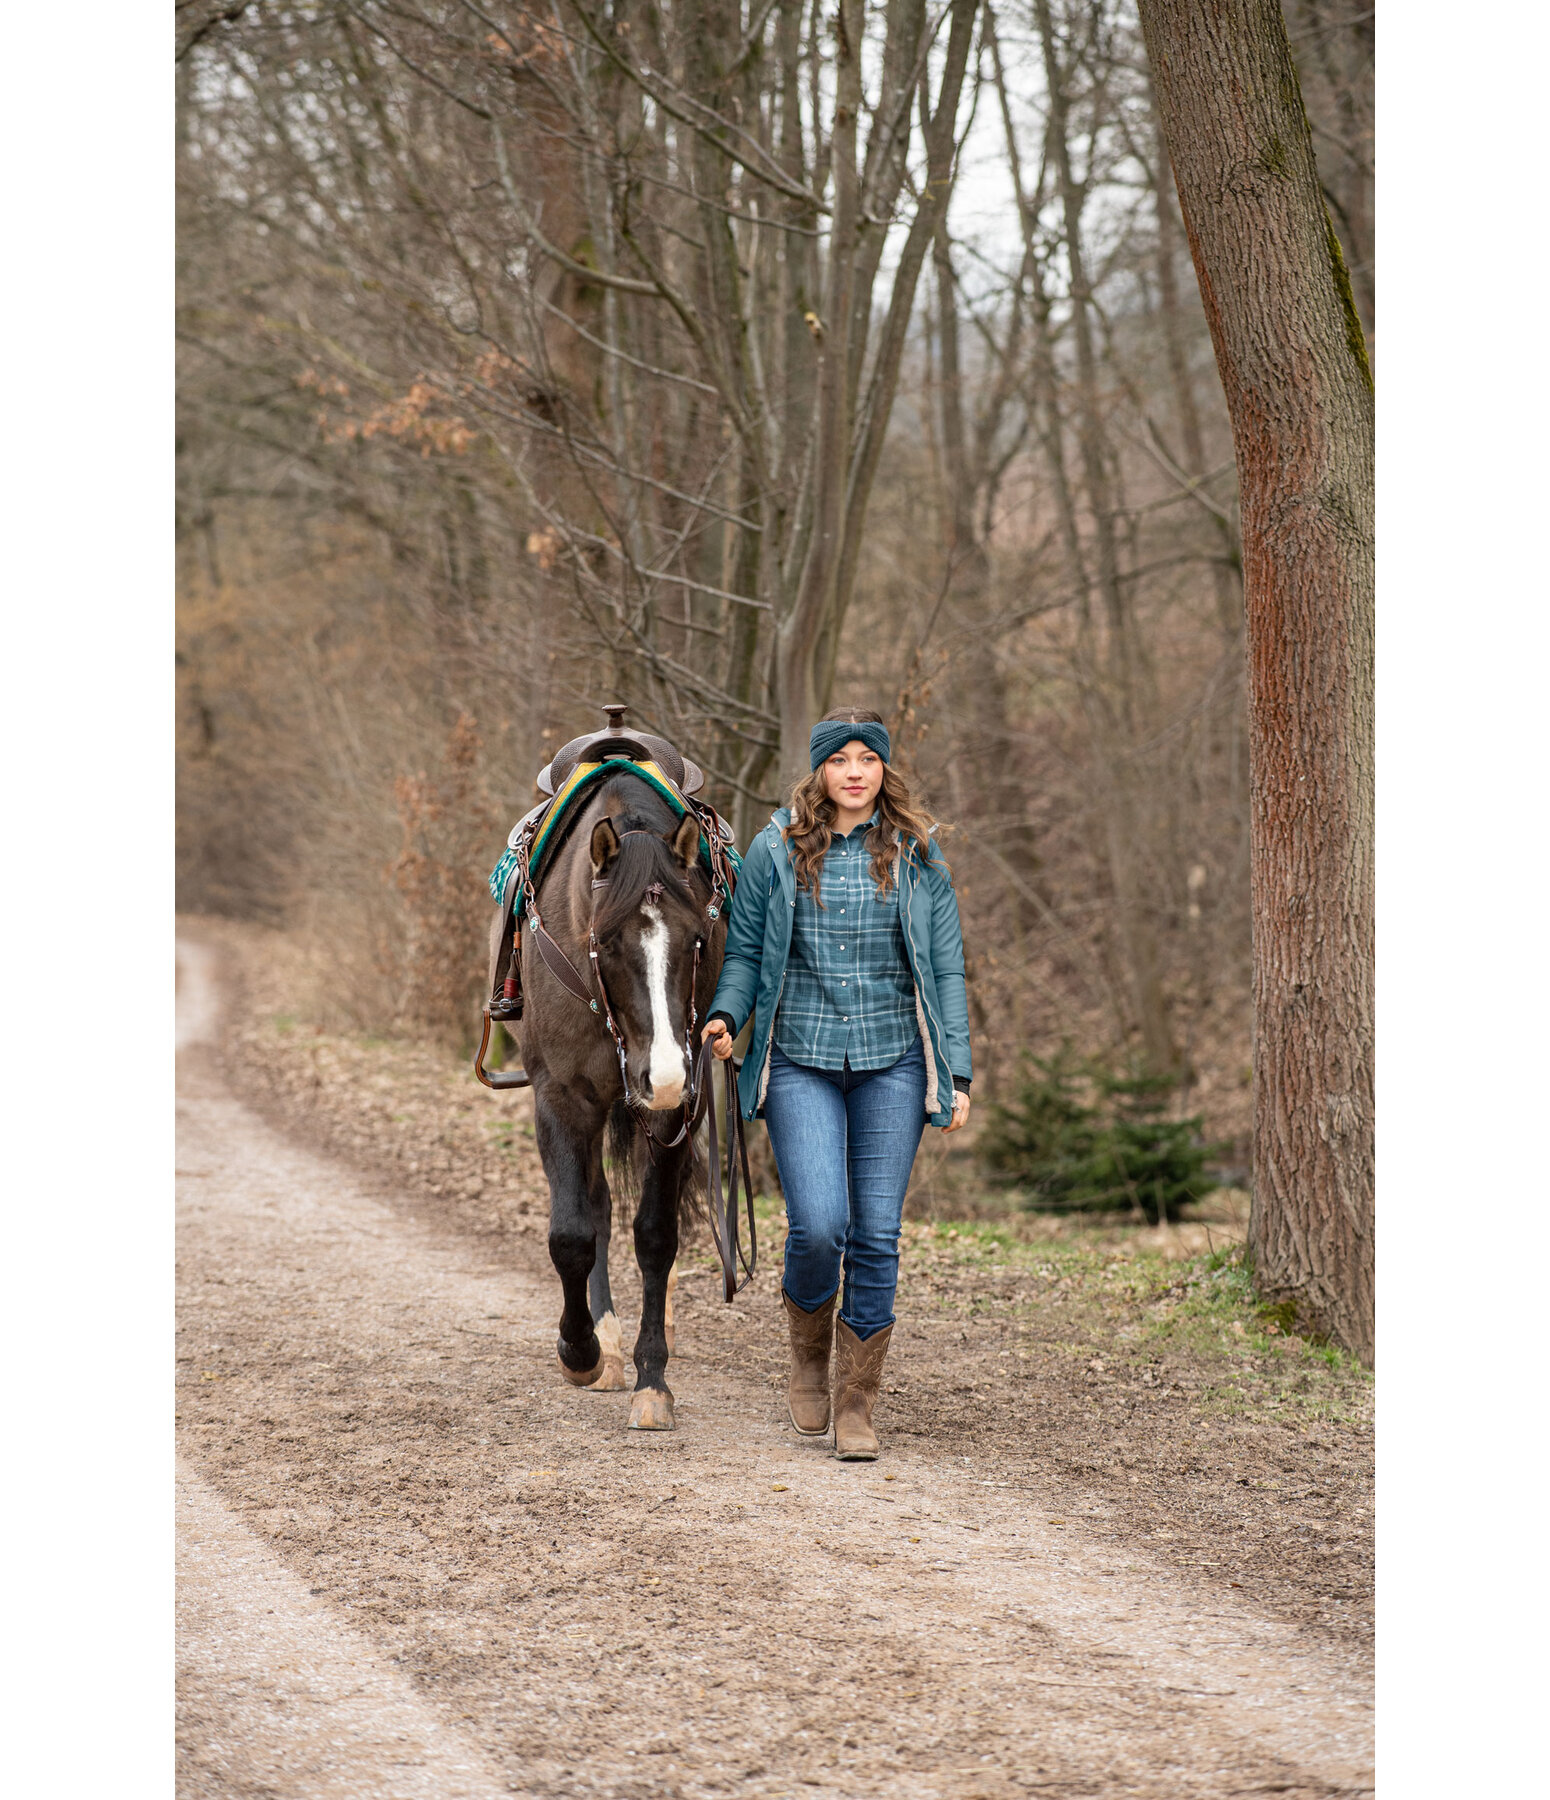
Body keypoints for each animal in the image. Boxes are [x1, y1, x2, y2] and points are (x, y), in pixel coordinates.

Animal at [507, 774, 727, 1432]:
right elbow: (572, 1234)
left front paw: (652, 1378)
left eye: (697, 939)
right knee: (596, 1205)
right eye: (604, 941)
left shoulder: (676, 1111)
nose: (665, 1074)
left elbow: (655, 1236)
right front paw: (581, 1351)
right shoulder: (561, 1099)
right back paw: (602, 1338)